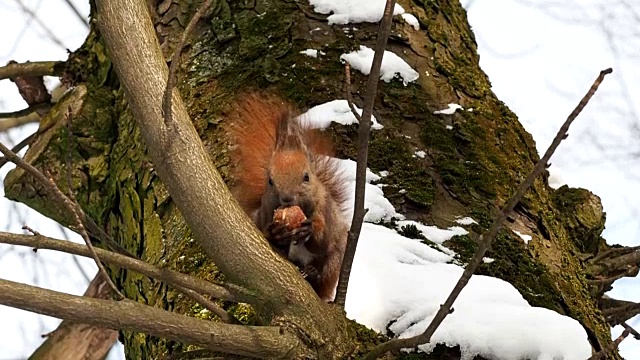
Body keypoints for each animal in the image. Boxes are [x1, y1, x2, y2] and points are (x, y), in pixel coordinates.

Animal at [226, 93, 348, 300]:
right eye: (270, 180)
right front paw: (277, 233)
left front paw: (309, 230)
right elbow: (266, 232)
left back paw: (313, 274)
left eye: (307, 177)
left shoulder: (325, 209)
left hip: (334, 263)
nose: (287, 198)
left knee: (322, 279)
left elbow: (323, 243)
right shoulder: (266, 212)